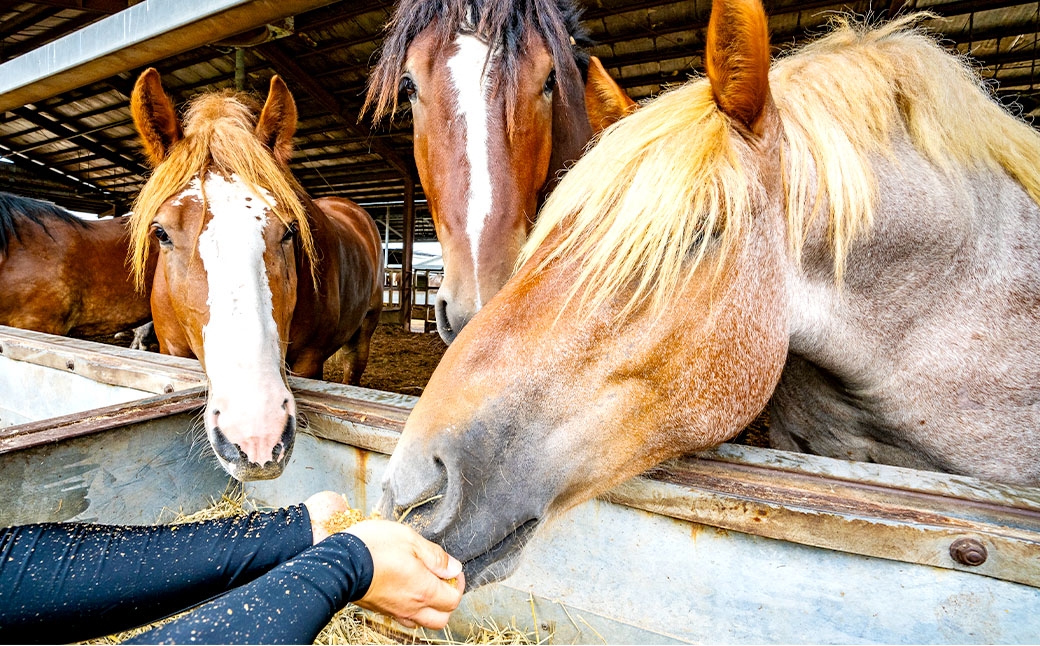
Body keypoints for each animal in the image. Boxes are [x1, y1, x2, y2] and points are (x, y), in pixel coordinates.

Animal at [129, 69, 384, 481]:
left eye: (290, 230)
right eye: (161, 233)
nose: (257, 437)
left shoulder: (309, 361)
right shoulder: (171, 351)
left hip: (363, 334)